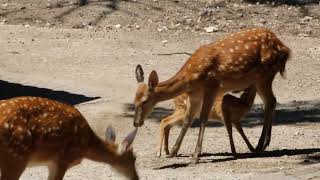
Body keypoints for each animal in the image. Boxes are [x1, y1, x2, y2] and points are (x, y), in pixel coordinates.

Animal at [0, 96, 139, 180]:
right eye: (134, 158)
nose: (136, 177)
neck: (87, 145)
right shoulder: (63, 160)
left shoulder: (51, 162)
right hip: (16, 156)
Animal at [132, 27, 290, 163]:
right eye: (134, 101)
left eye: (145, 101)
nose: (136, 123)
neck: (190, 78)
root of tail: (285, 49)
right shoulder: (194, 94)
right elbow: (188, 119)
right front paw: (173, 153)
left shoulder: (212, 86)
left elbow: (203, 118)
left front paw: (195, 156)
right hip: (259, 79)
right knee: (270, 102)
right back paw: (264, 143)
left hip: (265, 74)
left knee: (270, 101)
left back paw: (259, 145)